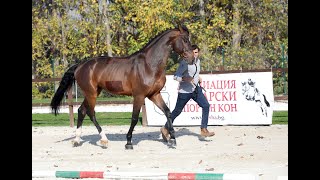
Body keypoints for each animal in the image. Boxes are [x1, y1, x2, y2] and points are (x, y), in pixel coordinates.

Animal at [51, 25, 194, 149]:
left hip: (94, 92)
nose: (192, 58)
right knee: (91, 113)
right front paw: (128, 142)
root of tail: (80, 65)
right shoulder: (139, 96)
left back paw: (77, 140)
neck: (149, 65)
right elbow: (134, 118)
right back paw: (104, 140)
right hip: (91, 93)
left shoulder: (154, 94)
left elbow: (168, 112)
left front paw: (172, 140)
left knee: (81, 111)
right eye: (185, 40)